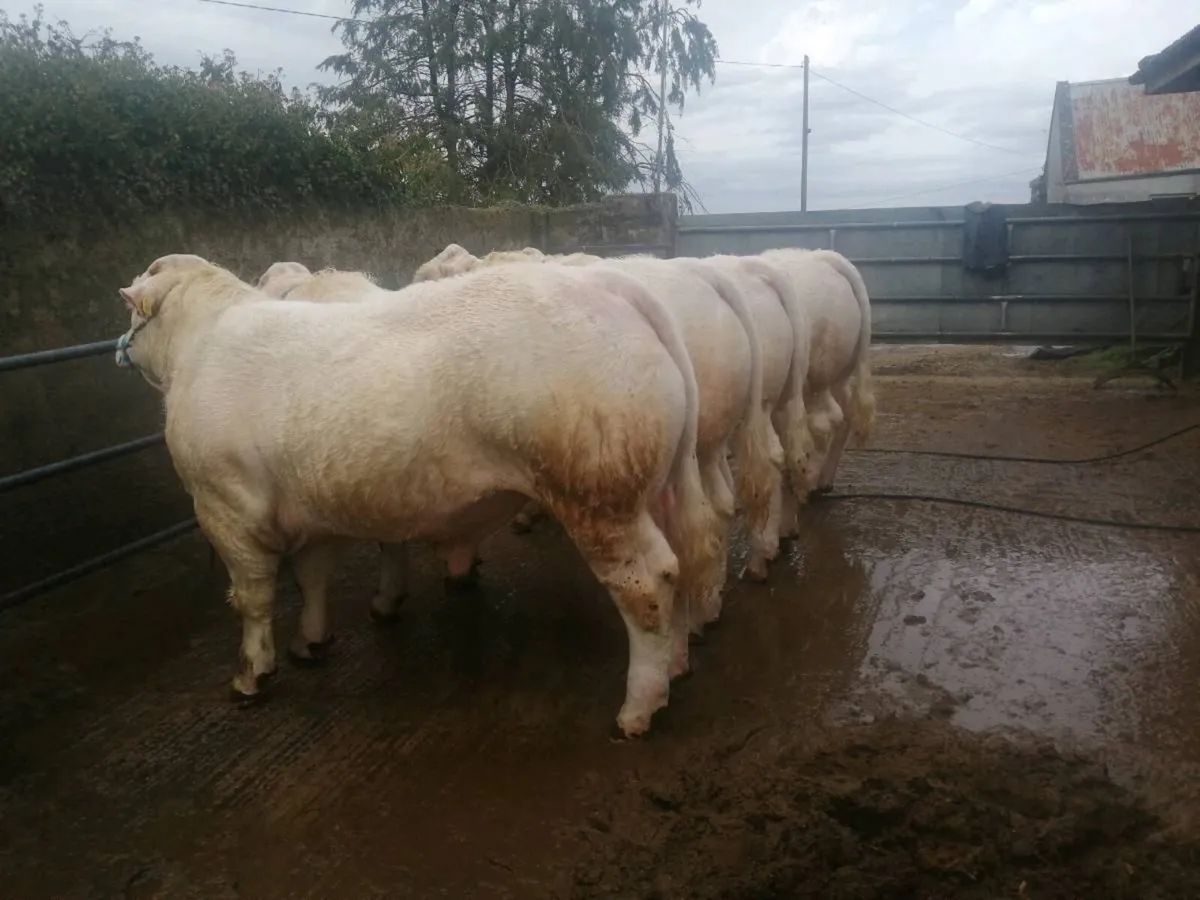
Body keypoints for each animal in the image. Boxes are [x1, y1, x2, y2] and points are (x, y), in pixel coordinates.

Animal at [113, 252, 722, 738]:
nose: (120, 349)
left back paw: (638, 708)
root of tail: (614, 287)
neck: (198, 346)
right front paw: (311, 642)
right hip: (660, 483)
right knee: (688, 556)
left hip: (599, 495)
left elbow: (254, 597)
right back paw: (677, 664)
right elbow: (313, 578)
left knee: (648, 584)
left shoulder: (226, 507)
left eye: (132, 315)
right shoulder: (308, 511)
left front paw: (251, 674)